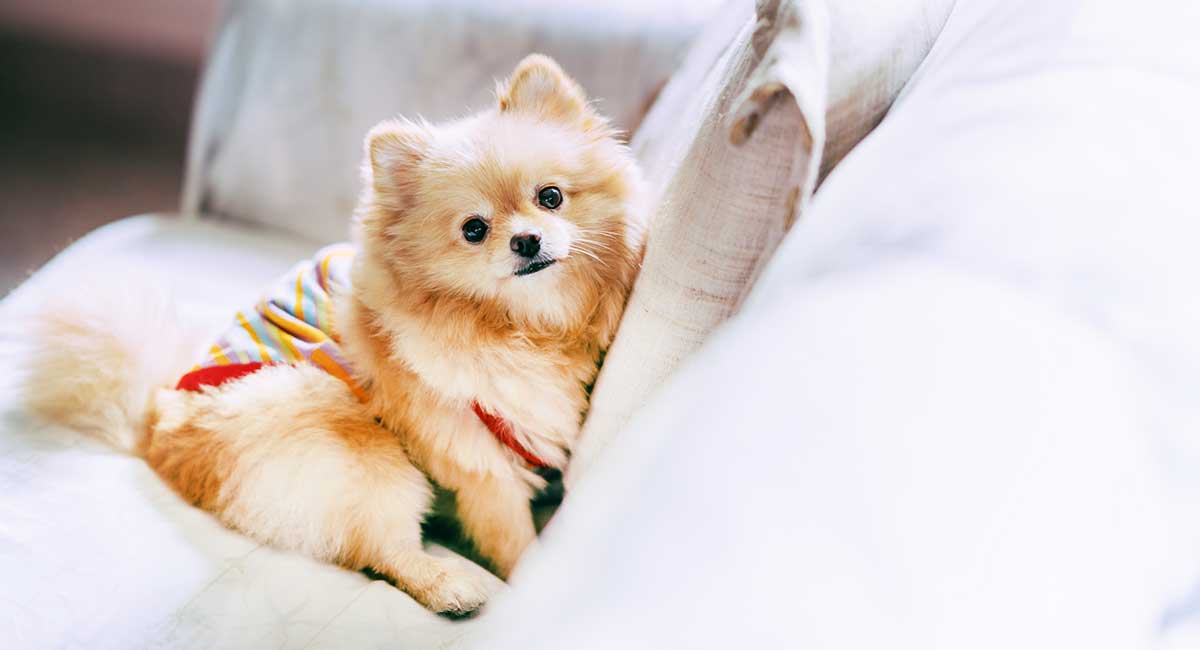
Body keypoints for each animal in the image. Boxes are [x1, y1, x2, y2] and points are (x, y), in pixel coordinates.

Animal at [18, 56, 648, 618]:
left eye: (551, 197)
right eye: (474, 230)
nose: (525, 240)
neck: (521, 325)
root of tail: (158, 430)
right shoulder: (473, 453)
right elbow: (511, 534)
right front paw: (530, 577)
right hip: (354, 440)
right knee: (383, 548)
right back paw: (447, 584)